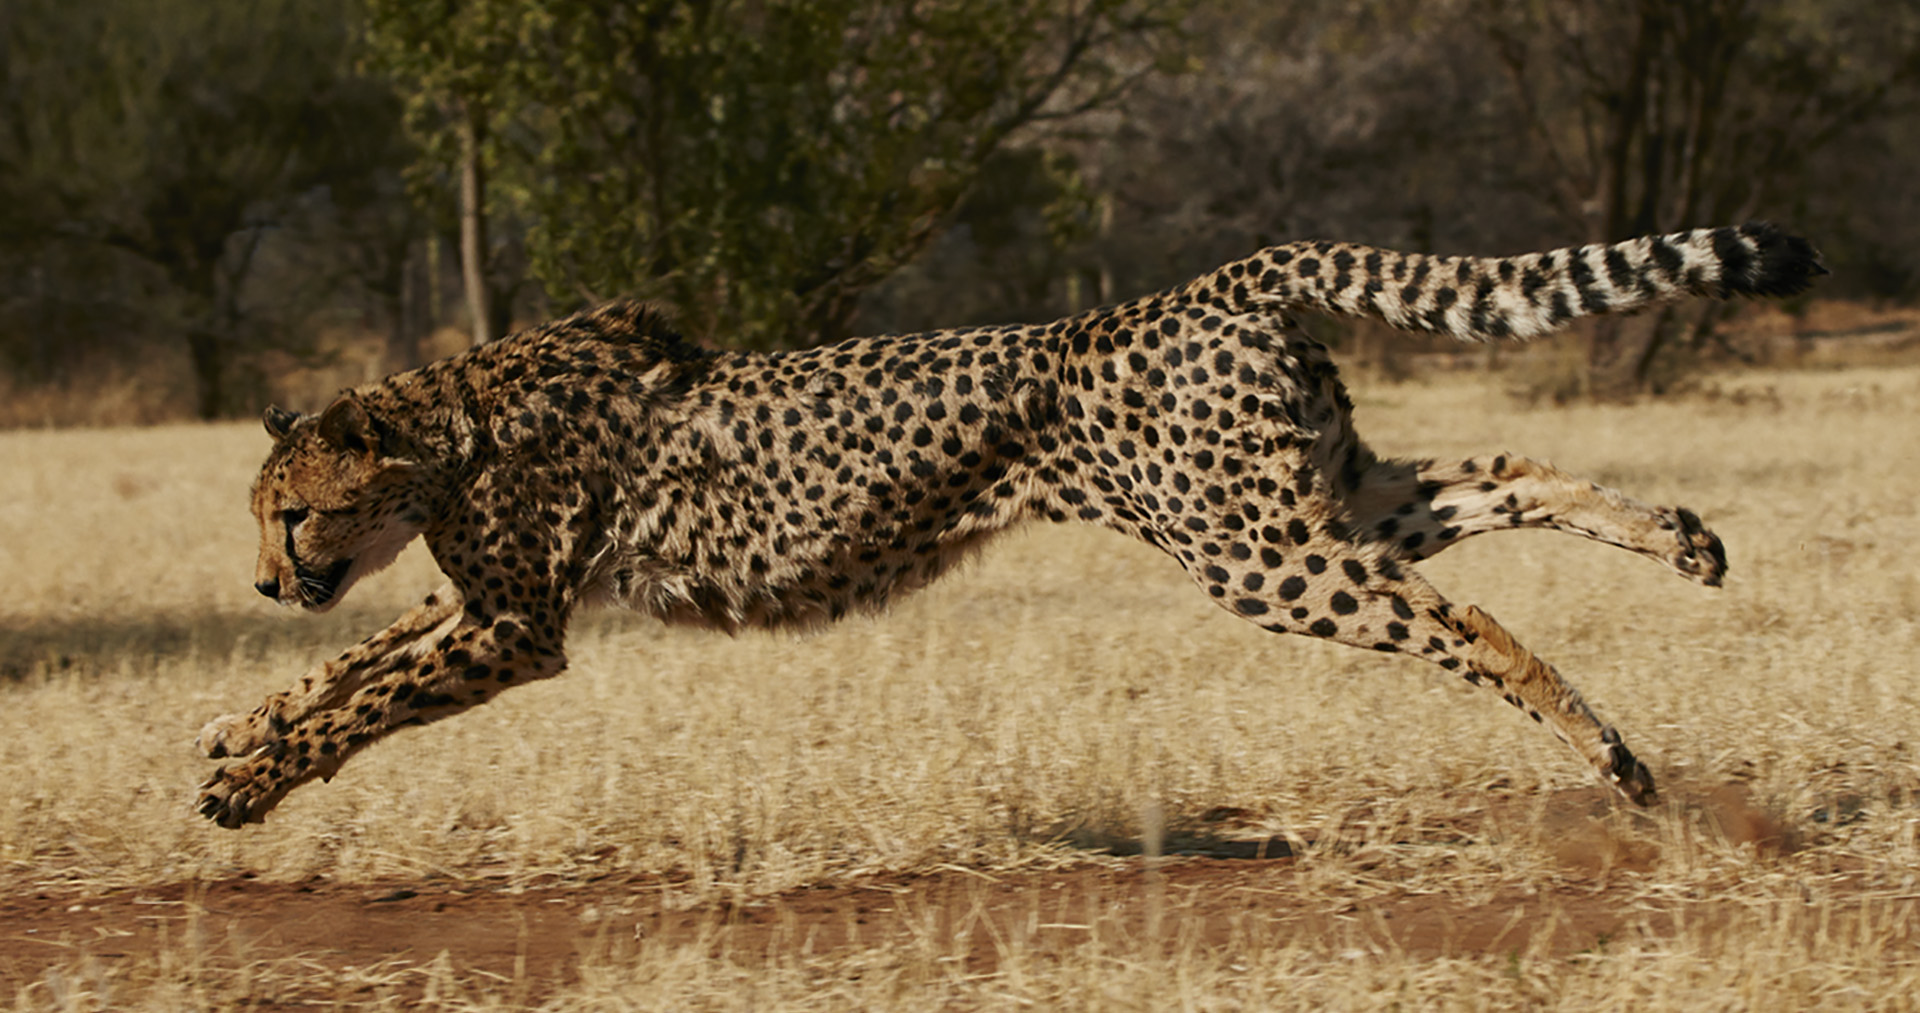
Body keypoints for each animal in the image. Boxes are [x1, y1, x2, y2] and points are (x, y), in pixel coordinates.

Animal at [196, 221, 1823, 828]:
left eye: (293, 515)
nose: (268, 584)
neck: (443, 420)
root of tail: (1214, 279)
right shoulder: (491, 601)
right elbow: (363, 660)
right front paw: (238, 726)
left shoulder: (522, 625)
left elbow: (377, 698)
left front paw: (252, 784)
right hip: (1327, 494)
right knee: (1509, 476)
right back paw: (1683, 537)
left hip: (1259, 552)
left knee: (1469, 622)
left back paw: (1611, 750)